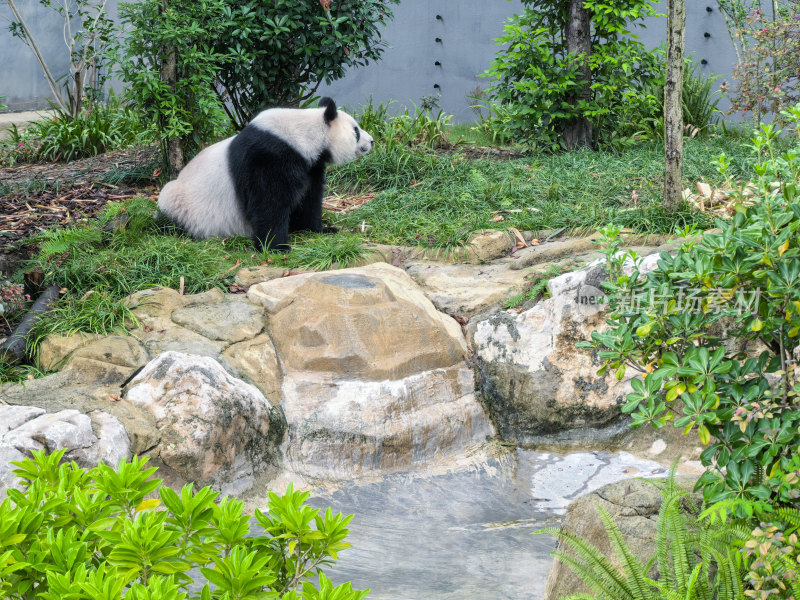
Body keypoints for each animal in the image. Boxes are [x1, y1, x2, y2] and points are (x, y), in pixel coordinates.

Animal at [158, 98, 374, 251]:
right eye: (356, 131)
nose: (371, 141)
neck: (305, 133)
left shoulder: (310, 165)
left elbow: (309, 199)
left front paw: (320, 229)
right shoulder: (270, 156)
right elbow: (269, 202)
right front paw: (276, 246)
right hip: (183, 203)